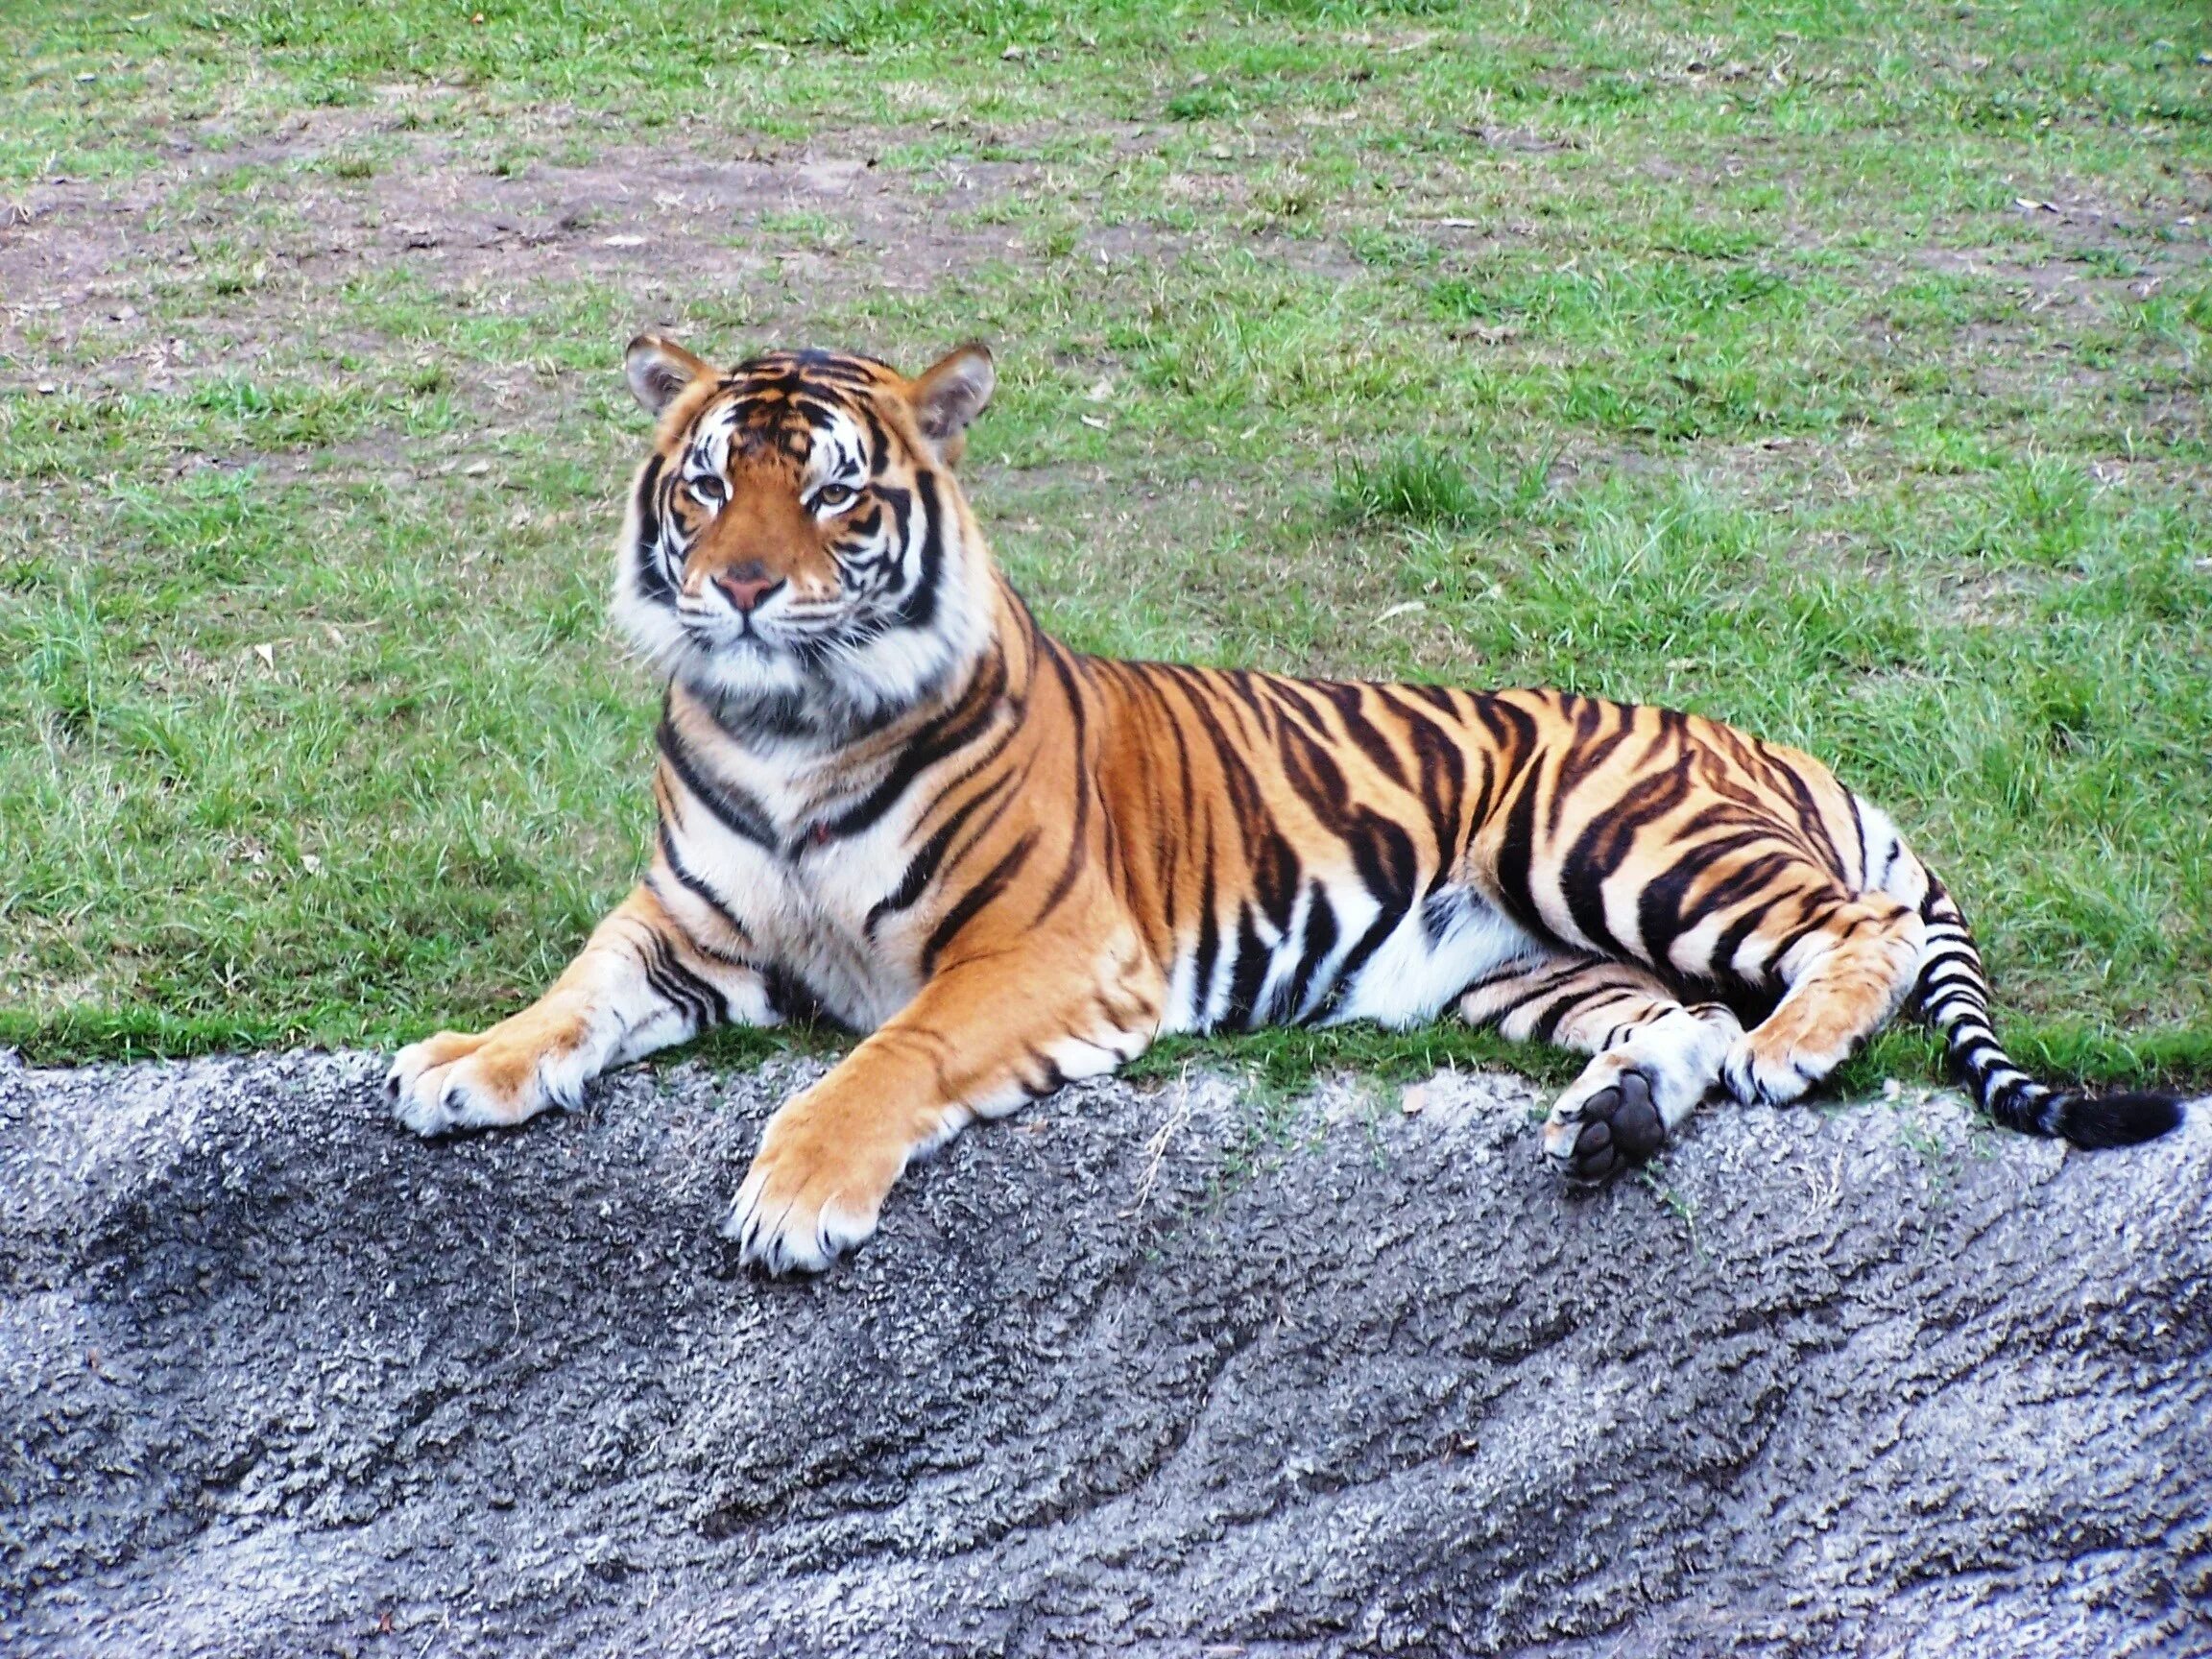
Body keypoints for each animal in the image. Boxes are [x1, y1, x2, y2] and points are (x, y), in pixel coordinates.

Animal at [389, 333, 2185, 1274]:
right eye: (705, 482)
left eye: (833, 492)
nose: (743, 587)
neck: (782, 721)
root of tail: (1777, 744)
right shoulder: (685, 924)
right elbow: (573, 987)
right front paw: (464, 1065)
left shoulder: (1041, 949)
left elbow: (890, 1055)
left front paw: (794, 1197)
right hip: (1524, 967)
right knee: (1674, 1020)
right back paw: (1615, 1115)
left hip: (1612, 838)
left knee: (1850, 931)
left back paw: (1794, 1042)